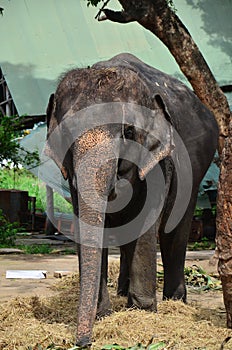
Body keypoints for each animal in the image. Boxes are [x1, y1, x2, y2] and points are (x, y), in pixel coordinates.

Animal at [44, 53, 218, 346]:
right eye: (66, 134)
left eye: (128, 132)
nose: (83, 342)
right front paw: (103, 314)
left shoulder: (158, 162)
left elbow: (146, 222)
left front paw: (143, 312)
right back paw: (123, 292)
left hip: (196, 172)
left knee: (174, 232)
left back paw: (174, 301)